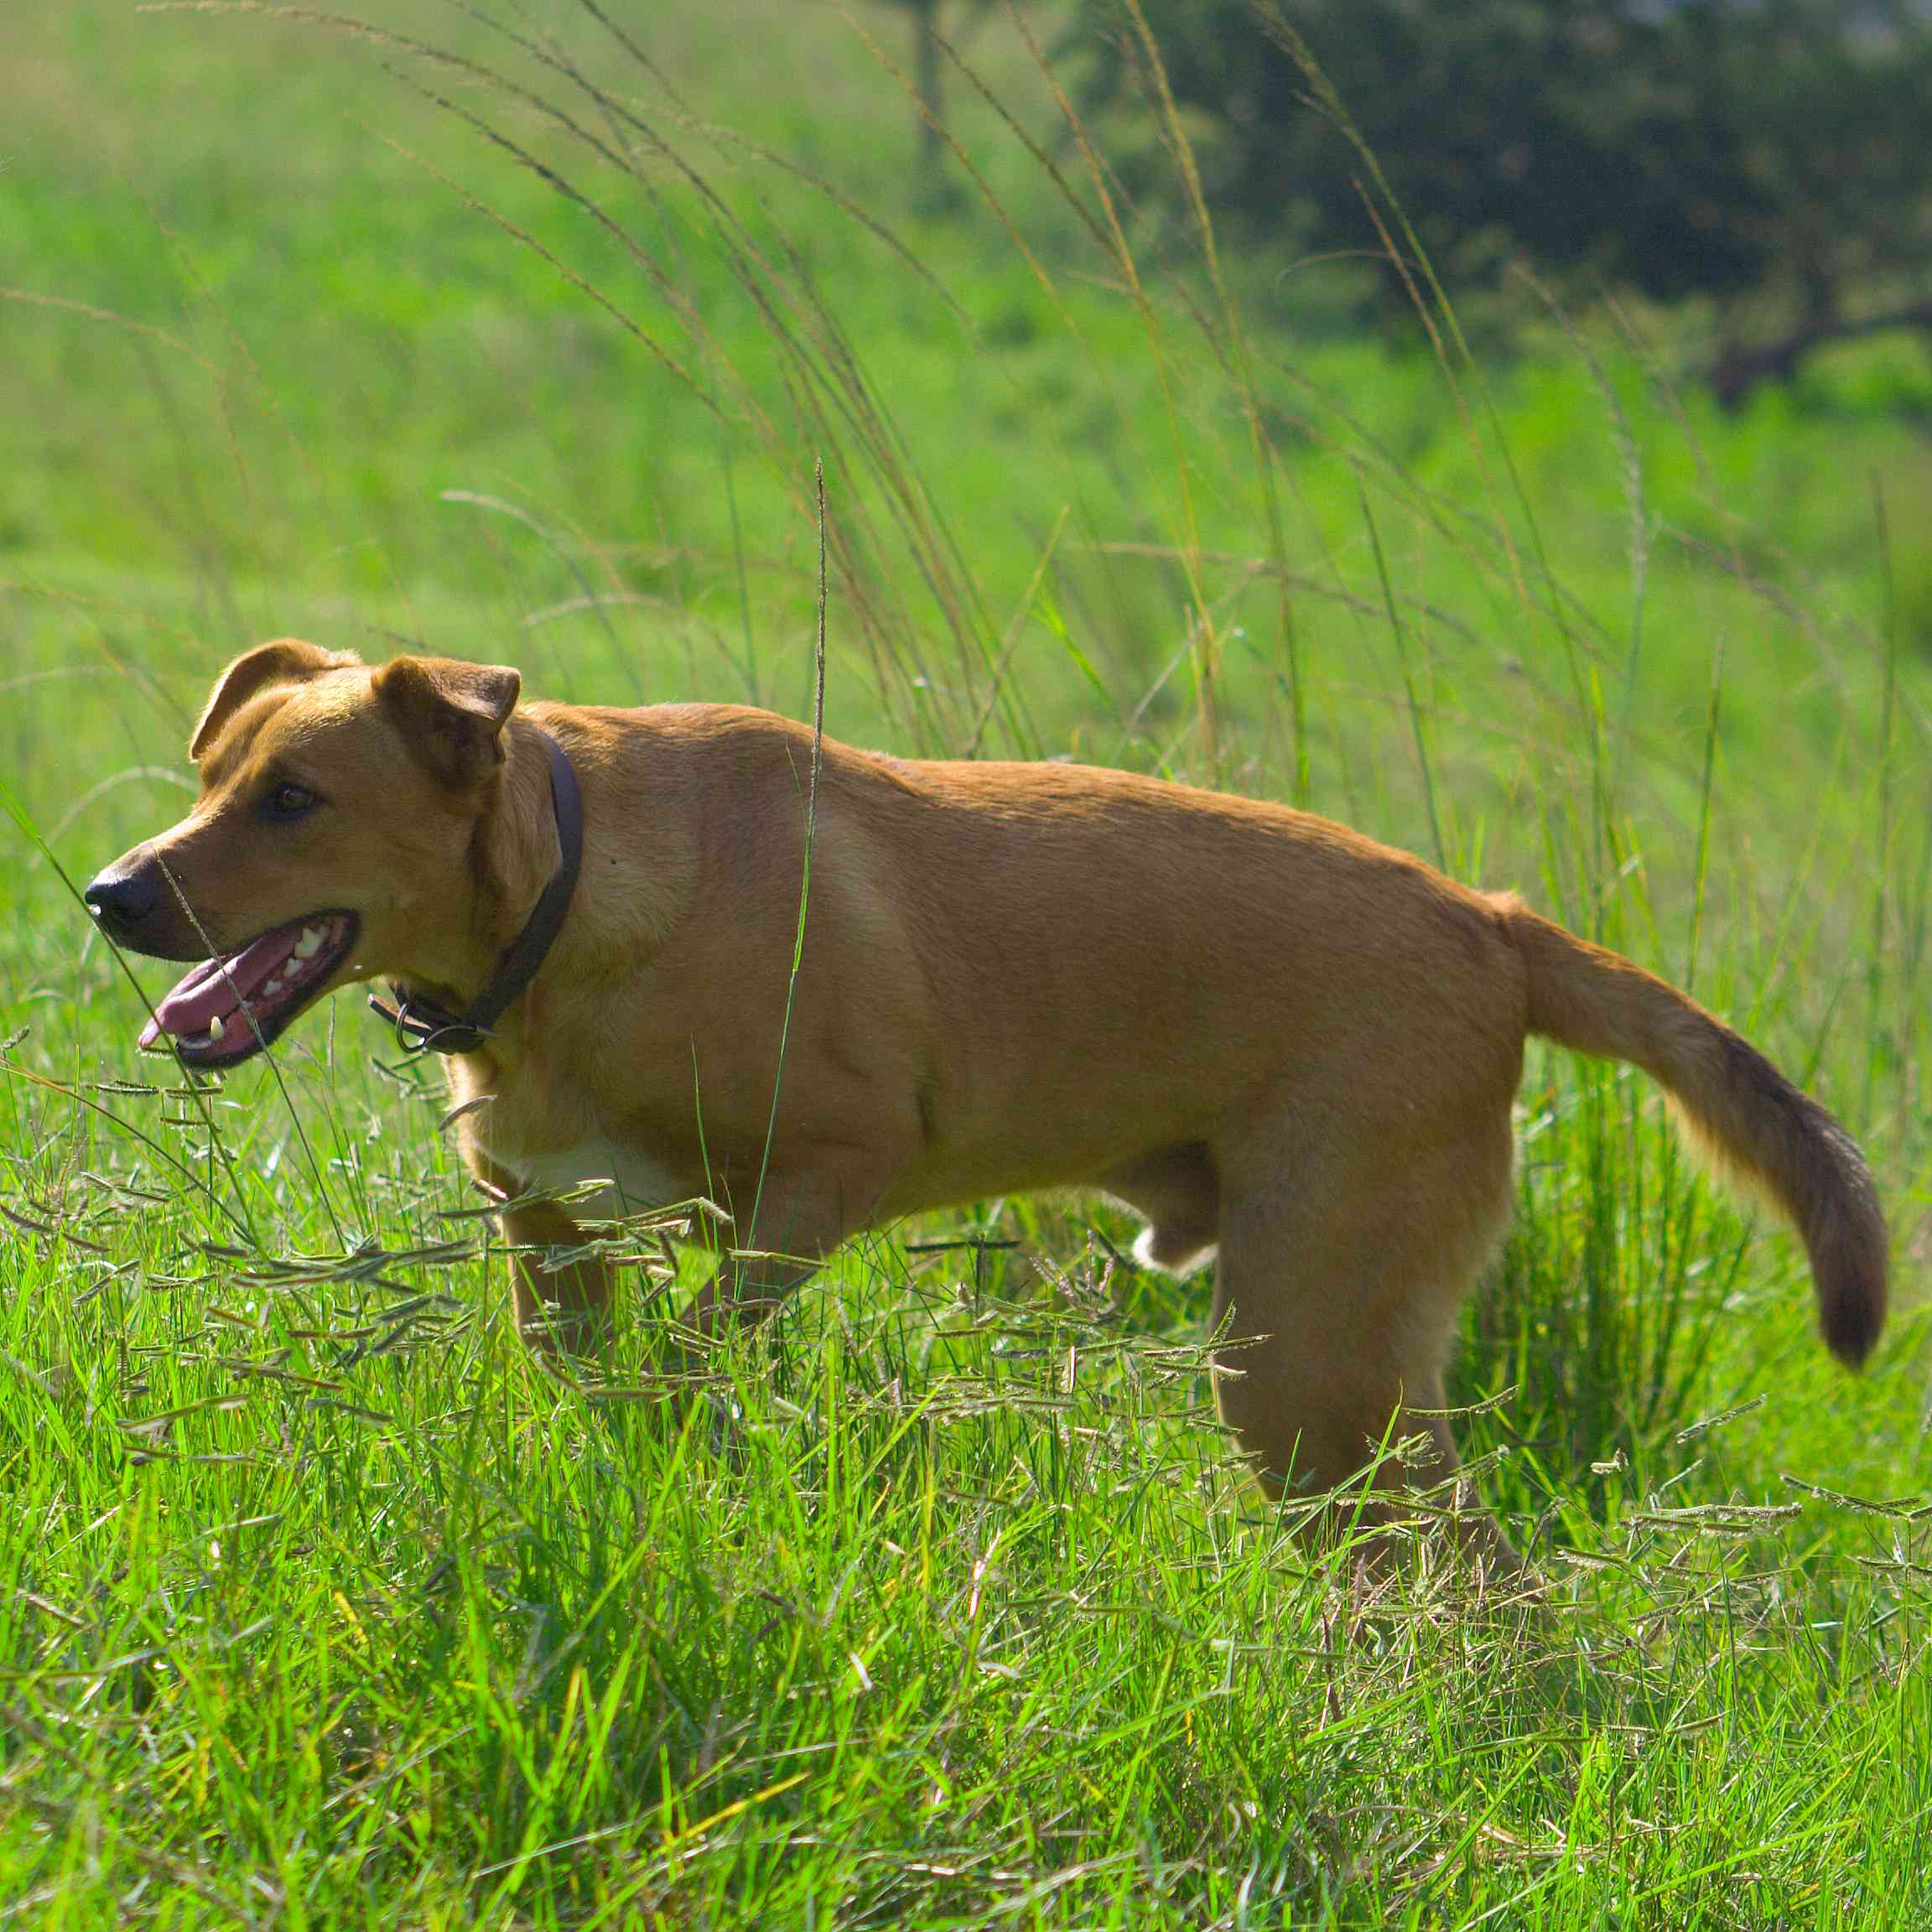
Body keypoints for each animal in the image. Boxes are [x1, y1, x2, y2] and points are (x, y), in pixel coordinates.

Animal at [86, 649, 1885, 1553]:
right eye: (206, 777)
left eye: (294, 797)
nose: (110, 895)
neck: (561, 909)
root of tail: (1491, 921)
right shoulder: (550, 1235)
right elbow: (606, 1383)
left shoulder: (821, 1171)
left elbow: (691, 1355)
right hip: (1317, 1381)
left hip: (1308, 1359)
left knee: (1462, 1569)